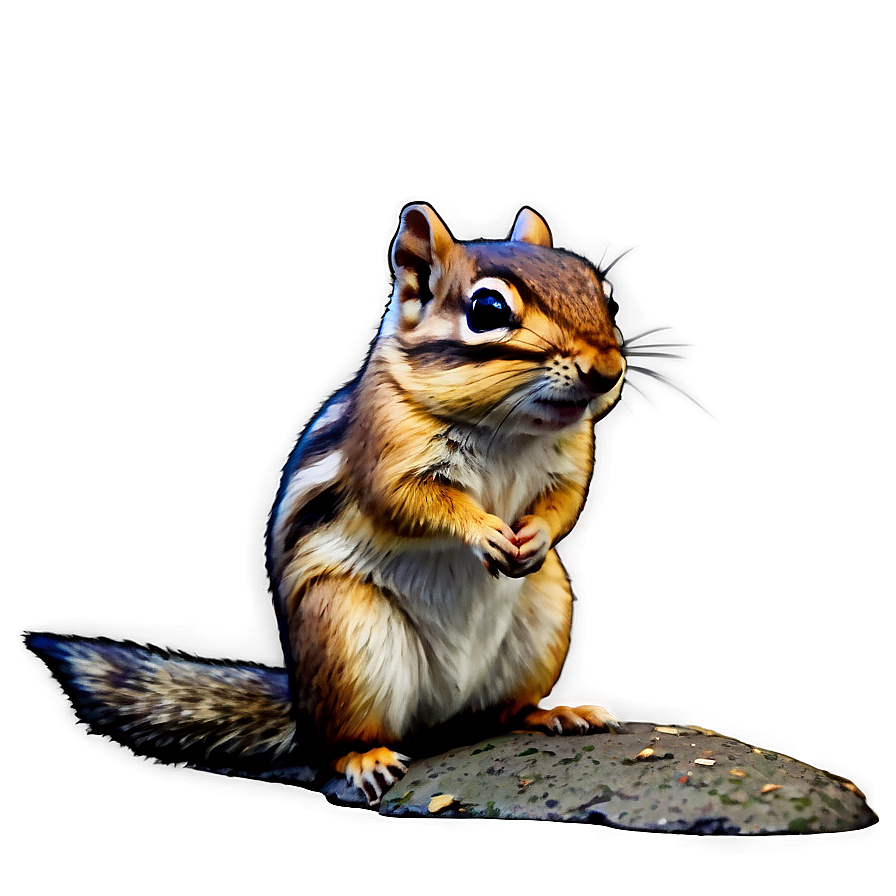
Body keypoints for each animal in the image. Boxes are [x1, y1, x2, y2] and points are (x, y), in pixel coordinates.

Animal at [27, 203, 626, 806]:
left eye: (606, 295)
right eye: (487, 309)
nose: (607, 372)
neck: (508, 431)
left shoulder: (571, 459)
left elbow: (565, 502)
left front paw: (535, 535)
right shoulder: (385, 448)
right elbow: (409, 502)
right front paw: (484, 530)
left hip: (546, 606)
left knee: (502, 712)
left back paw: (553, 714)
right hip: (344, 633)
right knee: (338, 743)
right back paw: (364, 757)